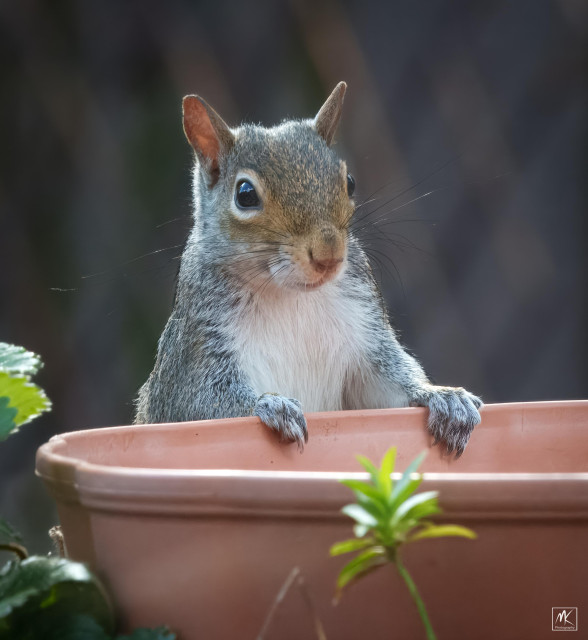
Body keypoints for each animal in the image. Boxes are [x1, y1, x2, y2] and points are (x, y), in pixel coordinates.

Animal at [134, 81, 482, 457]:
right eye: (245, 194)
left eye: (349, 182)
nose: (329, 254)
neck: (290, 293)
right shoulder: (196, 351)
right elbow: (203, 404)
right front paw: (270, 405)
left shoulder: (365, 331)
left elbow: (384, 384)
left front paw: (442, 397)